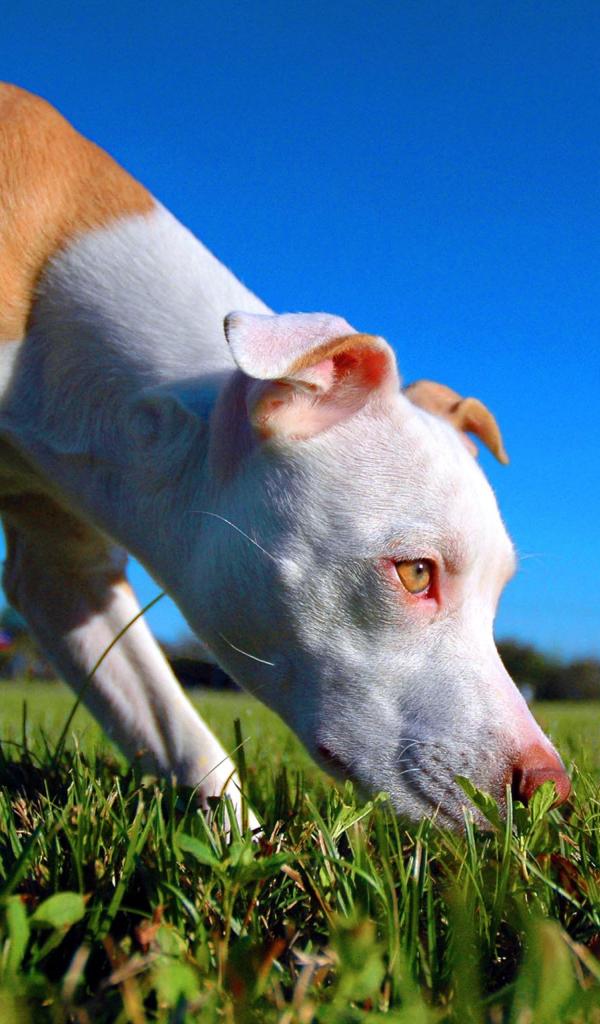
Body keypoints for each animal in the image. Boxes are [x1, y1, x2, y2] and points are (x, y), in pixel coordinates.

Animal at [0, 84, 569, 828]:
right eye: (416, 573)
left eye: (500, 592)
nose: (553, 792)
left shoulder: (62, 570)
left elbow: (181, 734)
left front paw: (238, 843)